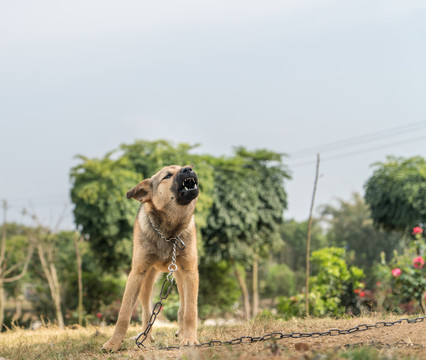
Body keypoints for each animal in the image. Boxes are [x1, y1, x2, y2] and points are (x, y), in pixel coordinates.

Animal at [101, 166, 200, 352]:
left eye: (183, 167)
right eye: (167, 176)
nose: (189, 169)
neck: (169, 233)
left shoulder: (190, 271)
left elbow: (190, 311)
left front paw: (190, 339)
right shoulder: (136, 274)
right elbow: (124, 314)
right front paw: (113, 343)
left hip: (181, 277)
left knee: (183, 306)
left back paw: (182, 332)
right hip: (146, 281)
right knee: (147, 311)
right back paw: (145, 339)